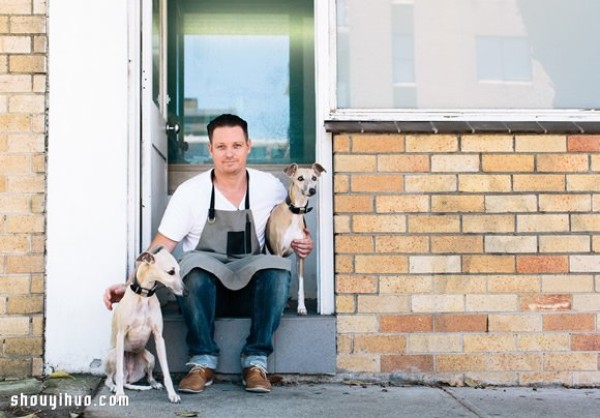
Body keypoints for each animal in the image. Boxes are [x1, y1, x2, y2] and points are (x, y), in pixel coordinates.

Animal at [103, 247, 184, 404]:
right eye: (171, 272)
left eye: (179, 270)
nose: (187, 292)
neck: (144, 296)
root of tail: (129, 376)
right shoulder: (121, 334)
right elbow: (118, 374)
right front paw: (120, 395)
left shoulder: (159, 337)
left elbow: (166, 371)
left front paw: (172, 394)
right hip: (113, 355)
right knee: (110, 378)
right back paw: (115, 387)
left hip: (150, 357)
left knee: (149, 375)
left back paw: (155, 383)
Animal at [266, 162, 326, 316]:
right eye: (300, 178)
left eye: (314, 178)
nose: (312, 190)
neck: (295, 212)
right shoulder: (278, 253)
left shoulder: (300, 255)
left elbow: (301, 285)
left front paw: (301, 307)